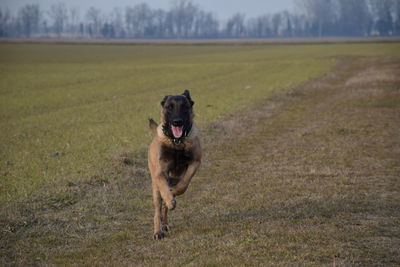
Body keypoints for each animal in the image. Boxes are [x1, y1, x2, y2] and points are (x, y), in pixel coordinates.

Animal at [148, 90, 202, 241]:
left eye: (184, 106)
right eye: (169, 107)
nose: (177, 121)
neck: (176, 143)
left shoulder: (195, 163)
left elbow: (184, 184)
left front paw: (174, 192)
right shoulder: (160, 173)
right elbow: (165, 189)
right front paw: (170, 199)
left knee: (164, 209)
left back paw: (165, 224)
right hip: (155, 190)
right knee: (157, 211)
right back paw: (158, 231)